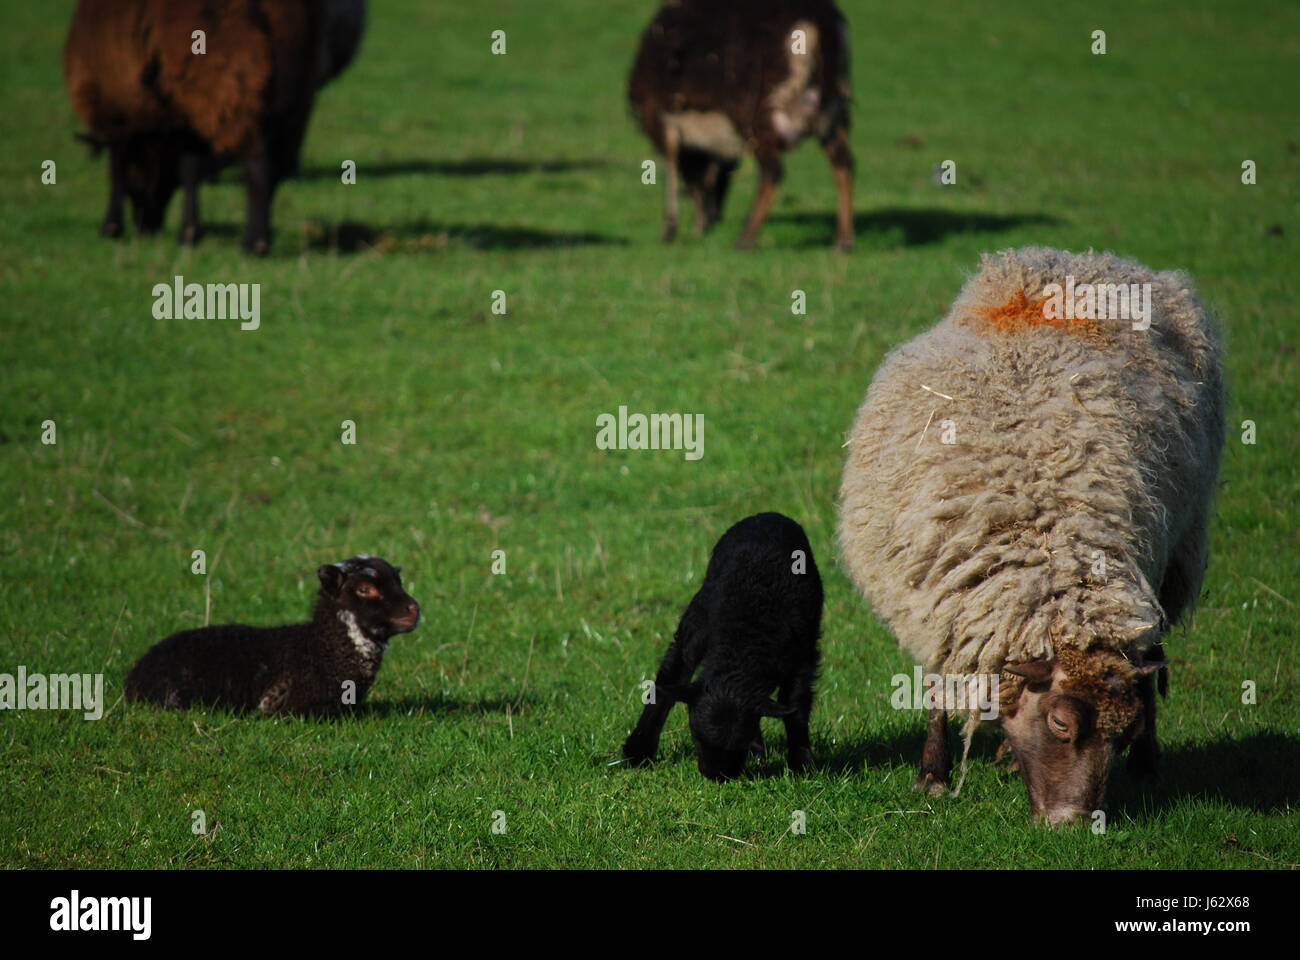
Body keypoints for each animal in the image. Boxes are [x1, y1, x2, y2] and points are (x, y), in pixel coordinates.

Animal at [64, 0, 329, 254]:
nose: (145, 226)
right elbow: (189, 170)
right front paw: (190, 232)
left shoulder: (116, 111)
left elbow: (117, 167)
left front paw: (111, 227)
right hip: (294, 96)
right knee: (277, 166)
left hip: (225, 77)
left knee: (258, 163)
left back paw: (254, 243)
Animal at [623, 513, 823, 780]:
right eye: (697, 736)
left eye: (737, 744)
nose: (717, 777)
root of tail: (769, 515)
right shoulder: (693, 637)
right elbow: (668, 680)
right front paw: (637, 751)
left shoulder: (802, 656)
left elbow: (796, 703)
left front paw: (801, 762)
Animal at [627, 0, 854, 250]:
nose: (711, 221)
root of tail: (815, 20)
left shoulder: (657, 118)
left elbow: (673, 170)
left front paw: (670, 231)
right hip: (831, 109)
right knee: (844, 163)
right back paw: (843, 241)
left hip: (761, 109)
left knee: (773, 171)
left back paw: (745, 239)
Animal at [837, 246, 1225, 825]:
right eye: (1060, 724)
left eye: (1121, 733)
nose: (1074, 825)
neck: (1040, 538)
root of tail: (1083, 260)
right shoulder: (935, 597)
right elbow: (935, 682)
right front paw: (932, 775)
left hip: (1173, 553)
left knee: (1152, 656)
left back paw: (1149, 766)